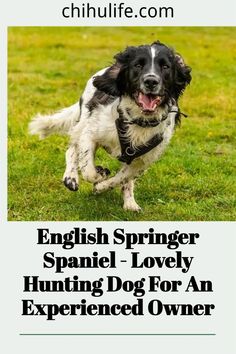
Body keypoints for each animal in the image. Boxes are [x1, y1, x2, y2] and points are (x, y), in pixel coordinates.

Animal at [29, 39, 192, 210]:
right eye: (138, 65)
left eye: (165, 66)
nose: (151, 81)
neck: (138, 120)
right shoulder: (90, 134)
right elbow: (88, 170)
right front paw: (100, 174)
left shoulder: (143, 160)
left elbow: (122, 178)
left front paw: (102, 187)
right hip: (84, 121)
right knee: (72, 149)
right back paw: (71, 178)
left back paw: (130, 202)